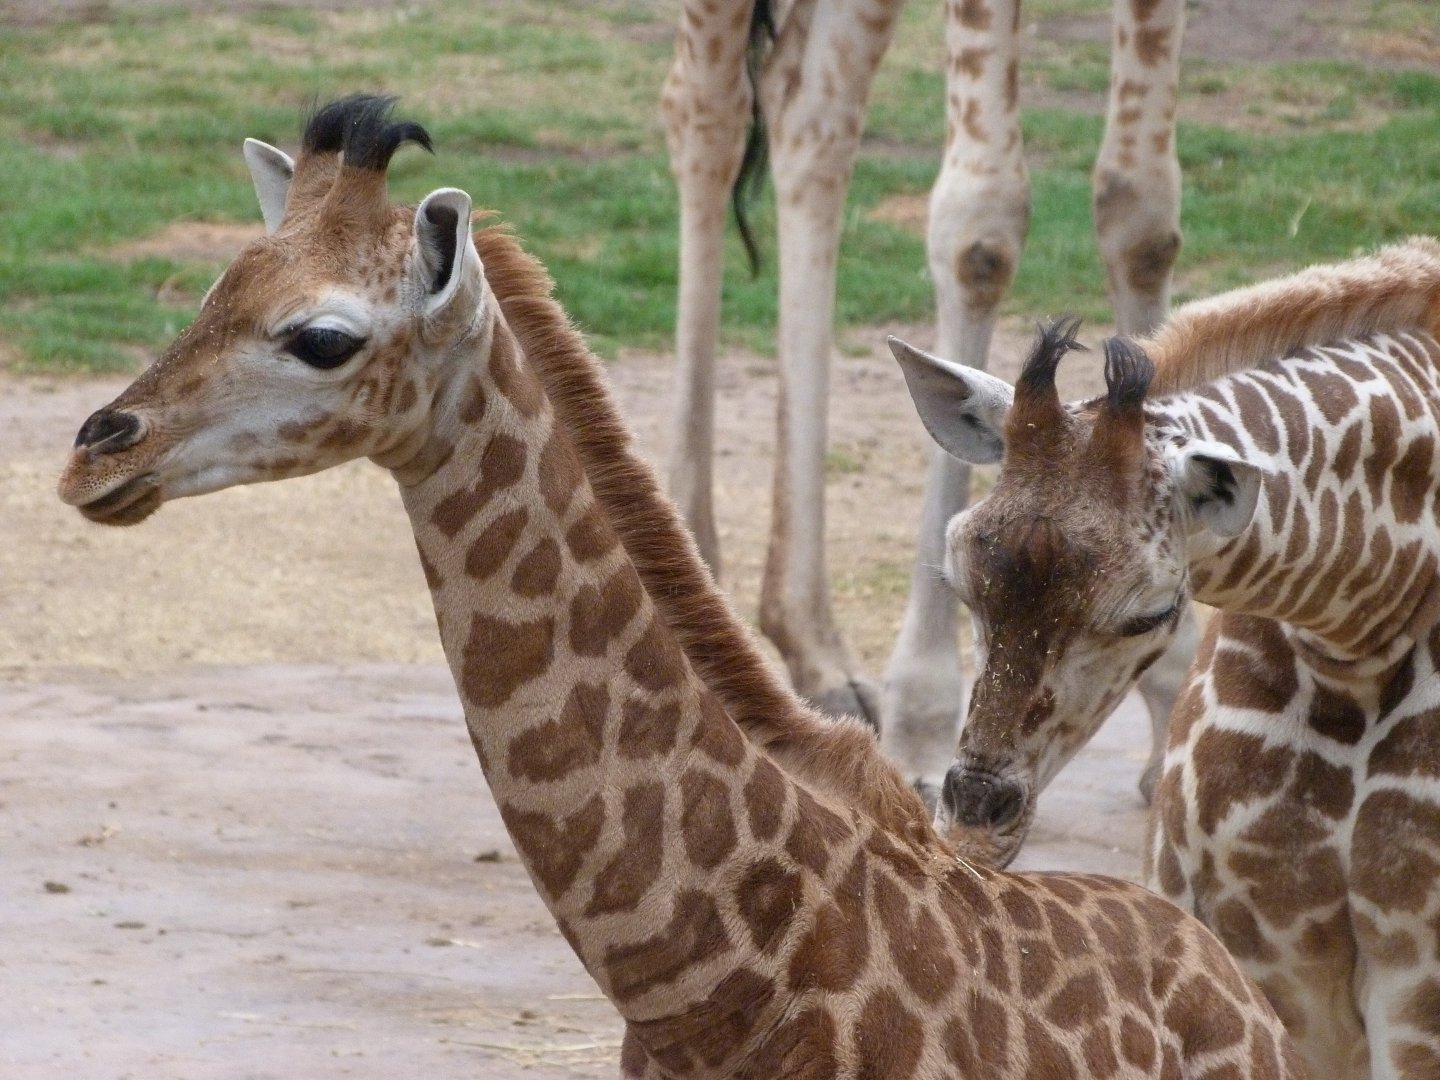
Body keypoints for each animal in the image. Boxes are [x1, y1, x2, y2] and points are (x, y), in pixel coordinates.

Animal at [661, 0, 1196, 799]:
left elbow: (1142, 216)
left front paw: (1172, 712)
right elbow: (981, 231)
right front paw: (923, 711)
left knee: (805, 109)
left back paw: (818, 651)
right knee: (706, 105)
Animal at [891, 238, 1440, 1076]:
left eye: (1148, 613)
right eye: (962, 584)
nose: (974, 819)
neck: (1356, 636)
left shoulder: (1415, 983)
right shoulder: (1236, 940)